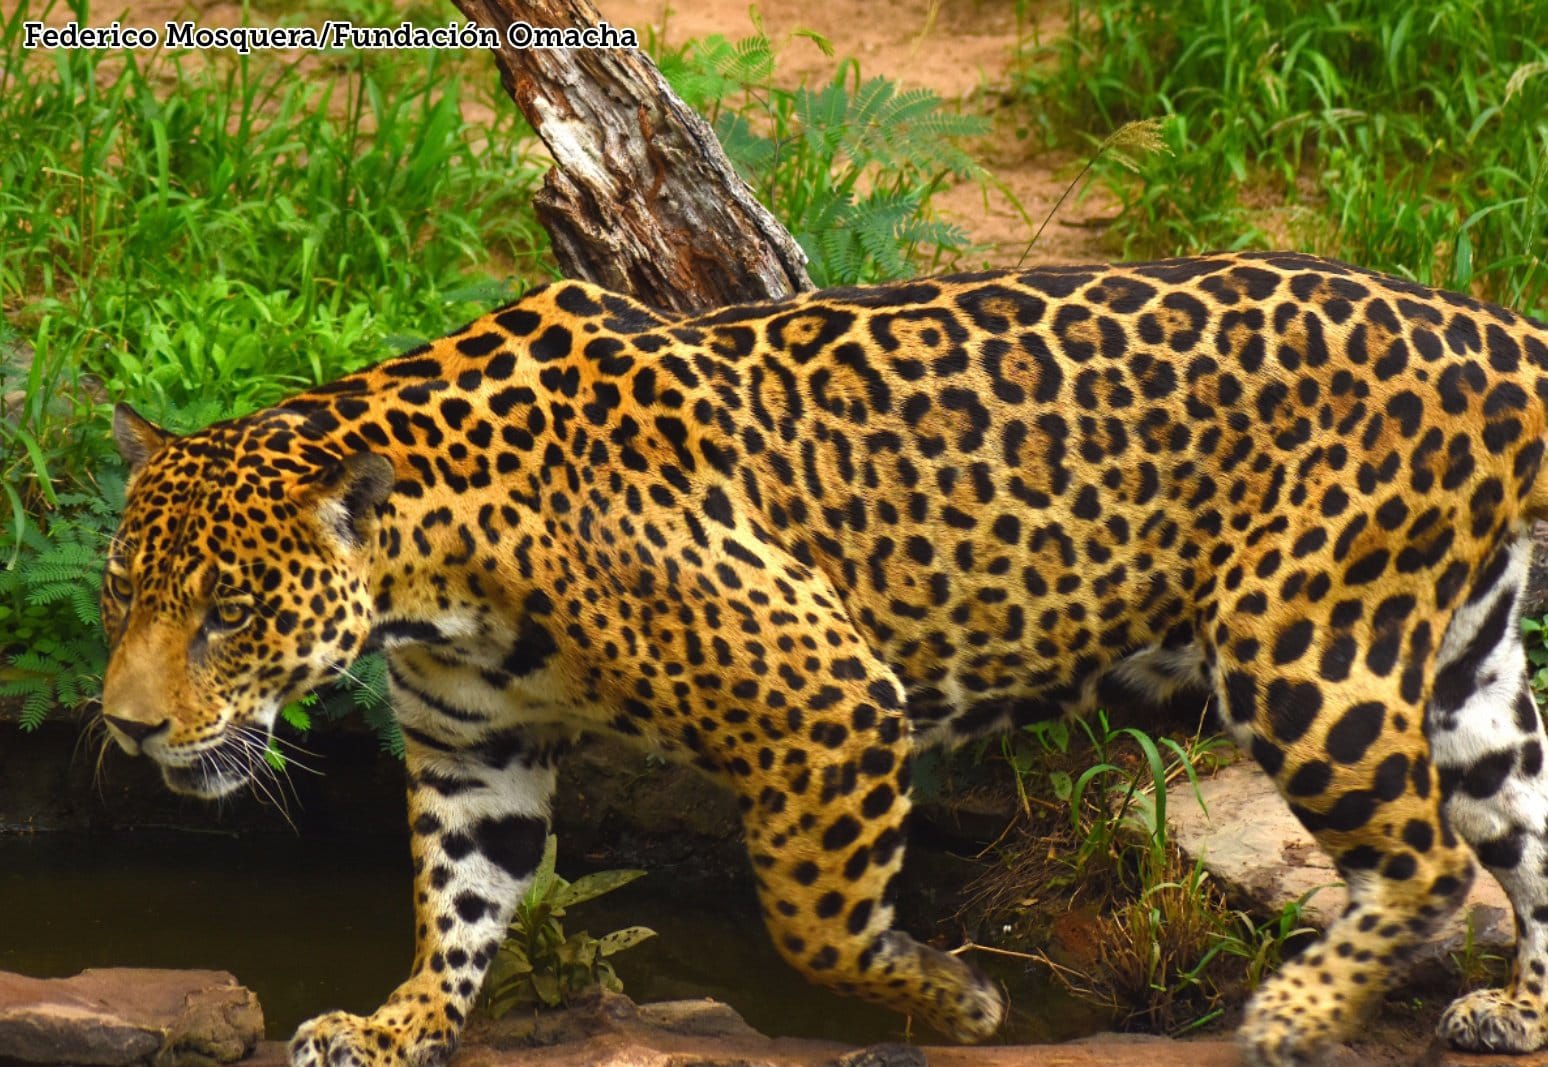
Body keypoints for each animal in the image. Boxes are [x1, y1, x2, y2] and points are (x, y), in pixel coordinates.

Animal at [98, 250, 1548, 1066]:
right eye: (122, 595)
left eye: (228, 612)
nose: (125, 729)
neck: (436, 572)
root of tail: (1486, 324)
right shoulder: (473, 748)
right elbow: (459, 900)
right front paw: (396, 1025)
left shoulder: (830, 703)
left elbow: (813, 920)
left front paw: (952, 1000)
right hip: (1462, 664)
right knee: (1522, 825)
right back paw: (1518, 1014)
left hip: (1300, 643)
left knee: (1424, 861)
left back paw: (1296, 1012)